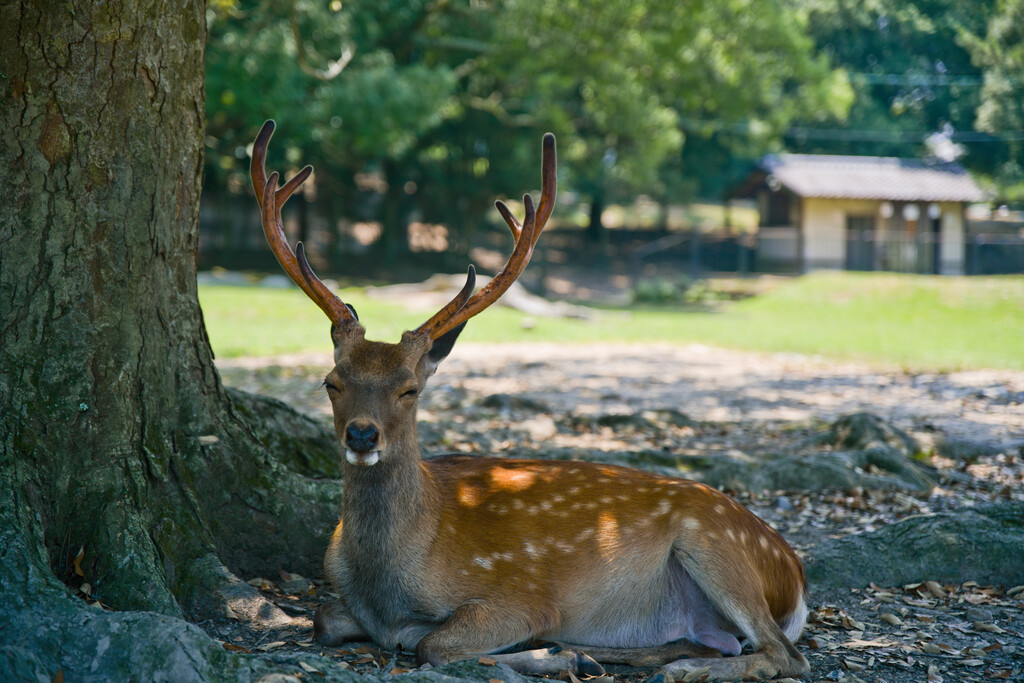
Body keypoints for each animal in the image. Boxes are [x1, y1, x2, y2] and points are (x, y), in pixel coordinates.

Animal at [245, 120, 806, 679]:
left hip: (714, 542)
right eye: (332, 382)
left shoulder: (521, 596)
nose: (362, 434)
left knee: (784, 653)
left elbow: (433, 643)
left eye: (410, 388)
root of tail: (795, 572)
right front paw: (562, 652)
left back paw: (659, 665)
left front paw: (547, 651)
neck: (386, 587)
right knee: (723, 642)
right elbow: (323, 617)